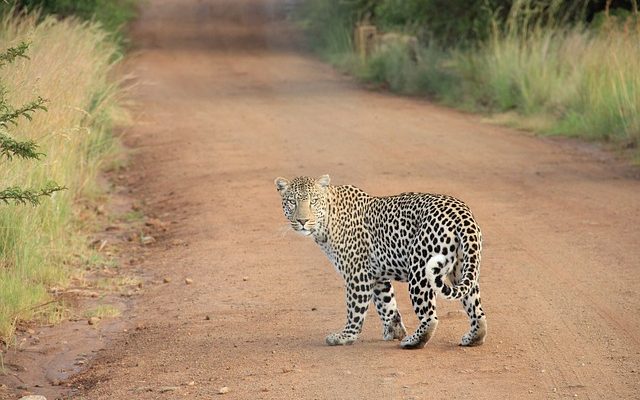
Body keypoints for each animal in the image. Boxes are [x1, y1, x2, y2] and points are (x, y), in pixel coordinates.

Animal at [272, 173, 488, 348]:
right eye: (291, 201)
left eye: (314, 201)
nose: (302, 221)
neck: (326, 222)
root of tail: (462, 213)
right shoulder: (377, 276)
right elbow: (387, 305)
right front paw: (394, 331)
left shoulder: (357, 274)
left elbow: (355, 309)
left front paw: (345, 337)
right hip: (462, 268)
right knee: (477, 310)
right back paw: (473, 338)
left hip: (420, 270)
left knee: (430, 317)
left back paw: (413, 341)